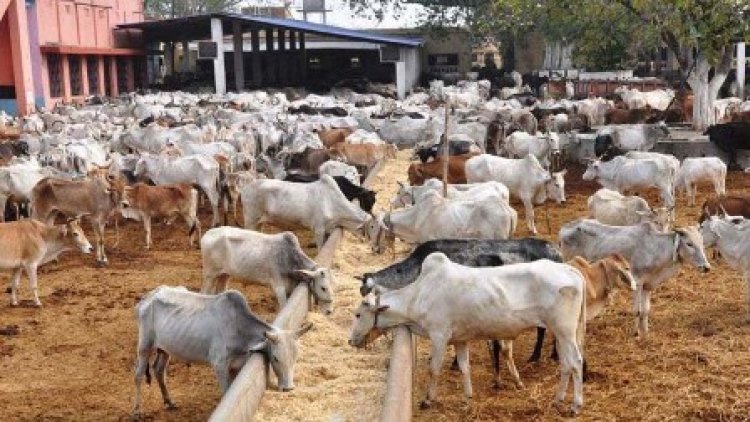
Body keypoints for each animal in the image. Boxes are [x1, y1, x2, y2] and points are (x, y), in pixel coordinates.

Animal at [132, 284, 314, 416]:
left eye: (296, 357)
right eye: (275, 358)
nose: (288, 388)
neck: (239, 329)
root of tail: (149, 296)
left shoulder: (237, 365)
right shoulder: (219, 365)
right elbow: (226, 393)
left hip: (165, 349)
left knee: (159, 370)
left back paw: (169, 402)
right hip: (144, 345)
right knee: (139, 375)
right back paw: (136, 410)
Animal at [203, 227, 338, 314]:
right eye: (323, 288)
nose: (329, 311)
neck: (289, 257)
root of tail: (207, 234)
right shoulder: (278, 286)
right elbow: (283, 307)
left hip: (224, 274)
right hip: (209, 275)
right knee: (205, 292)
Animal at [350, 256, 592, 414]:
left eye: (358, 314)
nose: (351, 340)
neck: (419, 294)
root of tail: (569, 270)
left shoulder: (439, 336)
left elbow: (434, 369)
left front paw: (428, 400)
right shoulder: (460, 340)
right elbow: (465, 368)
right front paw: (467, 399)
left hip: (565, 331)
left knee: (576, 362)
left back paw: (576, 405)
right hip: (562, 334)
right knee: (566, 364)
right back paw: (558, 400)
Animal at [560, 218, 712, 336]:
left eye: (701, 243)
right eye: (689, 244)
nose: (706, 267)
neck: (655, 248)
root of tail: (565, 227)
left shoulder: (648, 286)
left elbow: (645, 311)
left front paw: (646, 332)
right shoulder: (638, 283)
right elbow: (637, 311)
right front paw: (636, 333)